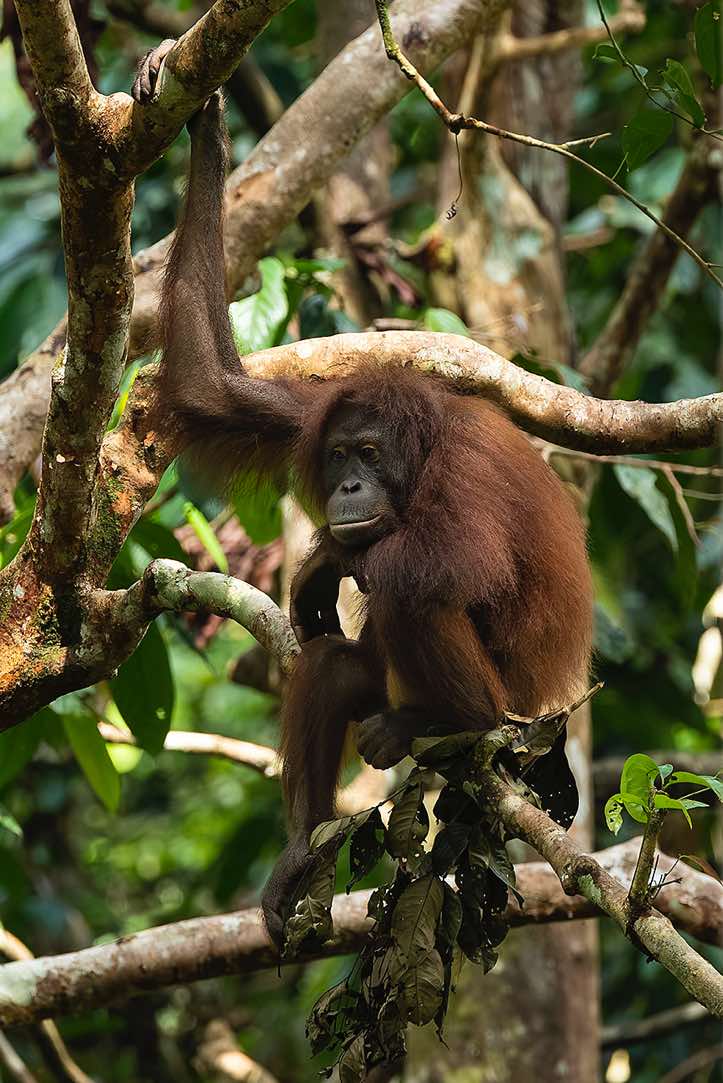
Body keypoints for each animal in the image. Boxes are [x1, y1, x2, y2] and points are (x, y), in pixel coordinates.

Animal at [132, 50, 594, 947]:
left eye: (371, 456)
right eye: (343, 453)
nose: (349, 485)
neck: (422, 447)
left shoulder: (465, 470)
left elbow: (455, 560)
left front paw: (329, 559)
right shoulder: (315, 410)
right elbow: (208, 384)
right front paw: (207, 123)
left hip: (517, 714)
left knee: (418, 590)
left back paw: (454, 718)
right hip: (380, 686)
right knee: (332, 665)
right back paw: (302, 847)